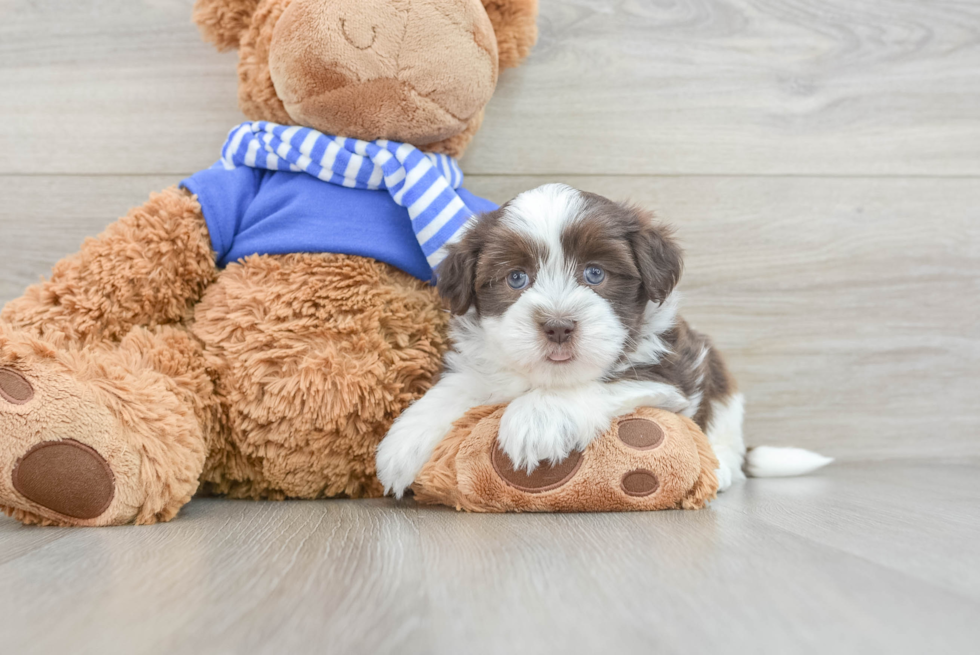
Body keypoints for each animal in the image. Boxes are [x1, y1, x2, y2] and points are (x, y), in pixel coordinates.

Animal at [376, 184, 828, 498]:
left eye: (595, 273)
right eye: (516, 278)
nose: (558, 326)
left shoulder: (670, 371)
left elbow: (600, 381)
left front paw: (535, 418)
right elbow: (458, 387)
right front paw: (405, 442)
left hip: (719, 383)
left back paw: (722, 469)